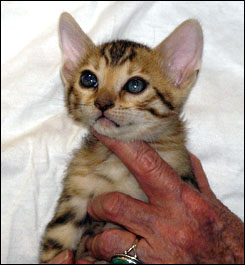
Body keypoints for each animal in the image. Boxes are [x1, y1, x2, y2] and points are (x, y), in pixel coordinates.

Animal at [39, 12, 203, 262]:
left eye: (135, 84)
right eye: (88, 79)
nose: (102, 103)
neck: (116, 162)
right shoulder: (74, 199)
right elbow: (56, 244)